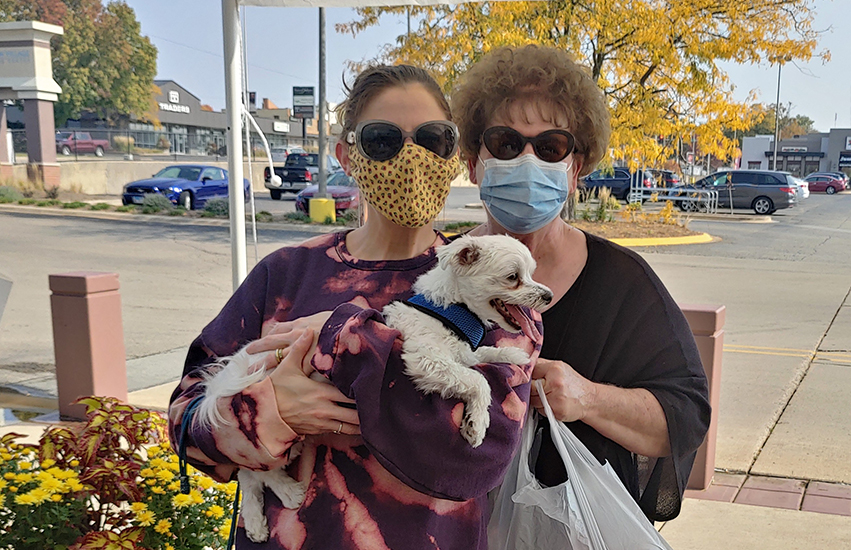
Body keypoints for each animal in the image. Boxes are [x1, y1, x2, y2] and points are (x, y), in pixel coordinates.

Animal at [191, 234, 552, 544]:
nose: (547, 295)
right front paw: (477, 423)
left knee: (249, 475)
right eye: (513, 277)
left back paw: (255, 521)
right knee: (256, 469)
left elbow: (481, 357)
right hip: (272, 422)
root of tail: (226, 378)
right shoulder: (424, 360)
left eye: (532, 273)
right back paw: (287, 491)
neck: (451, 312)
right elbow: (478, 381)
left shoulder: (461, 354)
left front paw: (513, 355)